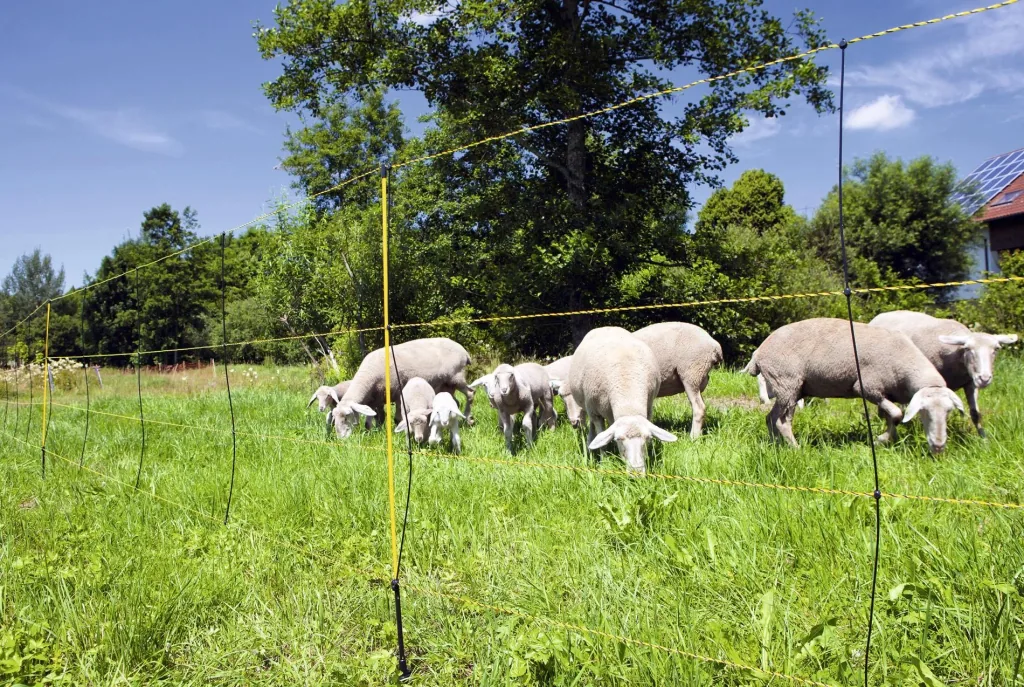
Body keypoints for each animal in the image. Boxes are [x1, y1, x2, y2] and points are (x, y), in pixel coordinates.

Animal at [330, 337, 475, 438]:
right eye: (334, 417)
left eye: (346, 416)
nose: (341, 438)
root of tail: (464, 352)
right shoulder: (378, 399)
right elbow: (378, 418)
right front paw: (376, 432)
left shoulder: (398, 394)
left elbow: (397, 418)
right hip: (447, 385)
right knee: (455, 402)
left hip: (457, 377)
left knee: (470, 393)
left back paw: (469, 420)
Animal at [568, 327, 677, 473]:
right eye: (619, 439)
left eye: (647, 438)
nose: (637, 472)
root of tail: (606, 327)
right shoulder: (596, 413)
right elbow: (602, 442)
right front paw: (604, 463)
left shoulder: (648, 409)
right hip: (588, 406)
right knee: (593, 428)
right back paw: (590, 445)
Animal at [745, 318, 964, 454]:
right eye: (924, 412)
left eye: (949, 412)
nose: (938, 447)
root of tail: (758, 352)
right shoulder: (868, 387)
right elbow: (897, 414)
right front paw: (881, 439)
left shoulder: (885, 393)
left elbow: (890, 417)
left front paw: (885, 438)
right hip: (787, 383)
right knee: (782, 421)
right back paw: (796, 448)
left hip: (790, 388)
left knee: (771, 418)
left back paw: (775, 445)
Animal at [869, 310, 1017, 437]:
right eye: (968, 349)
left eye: (996, 349)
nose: (985, 379)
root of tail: (882, 315)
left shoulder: (971, 383)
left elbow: (975, 414)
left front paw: (983, 439)